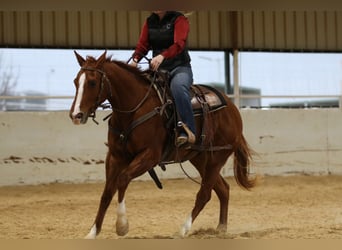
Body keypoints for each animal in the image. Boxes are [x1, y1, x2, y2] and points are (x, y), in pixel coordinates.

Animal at [69, 50, 255, 238]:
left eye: (92, 82)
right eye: (76, 81)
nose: (76, 115)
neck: (134, 108)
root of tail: (232, 109)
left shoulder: (150, 156)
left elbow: (122, 180)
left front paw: (121, 226)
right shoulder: (115, 156)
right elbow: (107, 193)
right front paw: (93, 232)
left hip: (217, 157)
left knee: (205, 194)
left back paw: (184, 229)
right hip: (201, 158)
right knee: (223, 189)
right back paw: (221, 228)